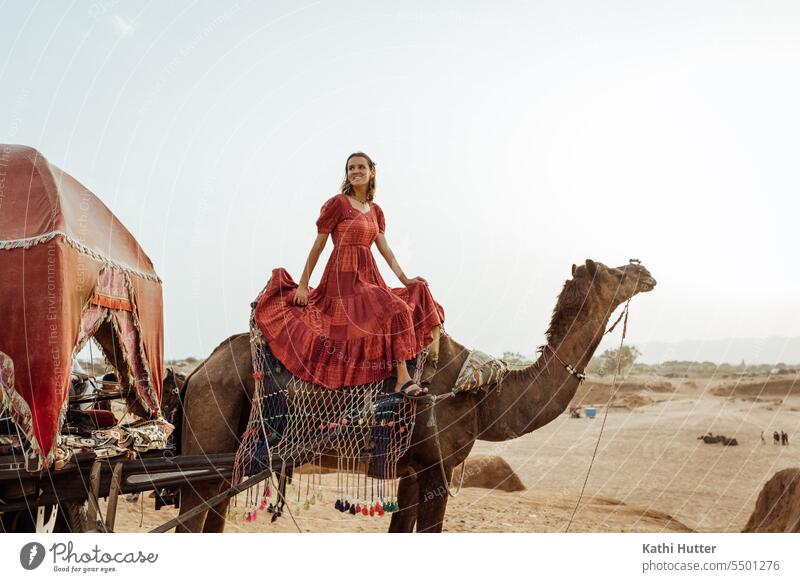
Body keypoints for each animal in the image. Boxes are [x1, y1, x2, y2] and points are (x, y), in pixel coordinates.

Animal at [178, 260, 652, 532]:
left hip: (227, 463)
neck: (483, 393)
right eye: (615, 271)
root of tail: (196, 373)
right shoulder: (436, 469)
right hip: (206, 444)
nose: (646, 272)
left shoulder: (410, 469)